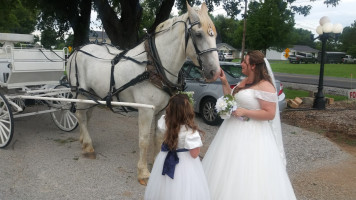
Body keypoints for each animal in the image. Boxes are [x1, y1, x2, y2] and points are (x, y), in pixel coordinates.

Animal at [65, 2, 218, 185]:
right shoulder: (146, 110)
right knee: (80, 116)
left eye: (215, 35)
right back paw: (88, 147)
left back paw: (83, 139)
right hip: (80, 92)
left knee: (86, 116)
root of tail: (77, 50)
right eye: (198, 34)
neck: (154, 65)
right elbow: (144, 140)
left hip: (92, 95)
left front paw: (157, 162)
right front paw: (143, 172)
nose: (215, 72)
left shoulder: (161, 110)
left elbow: (158, 137)